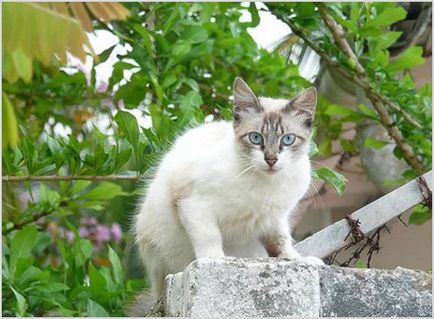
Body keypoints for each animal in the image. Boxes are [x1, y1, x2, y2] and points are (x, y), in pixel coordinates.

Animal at [131, 77, 324, 316]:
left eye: (287, 140)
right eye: (255, 138)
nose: (271, 160)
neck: (265, 184)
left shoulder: (274, 218)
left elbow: (281, 244)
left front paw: (300, 260)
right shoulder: (194, 205)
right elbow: (209, 237)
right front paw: (216, 260)